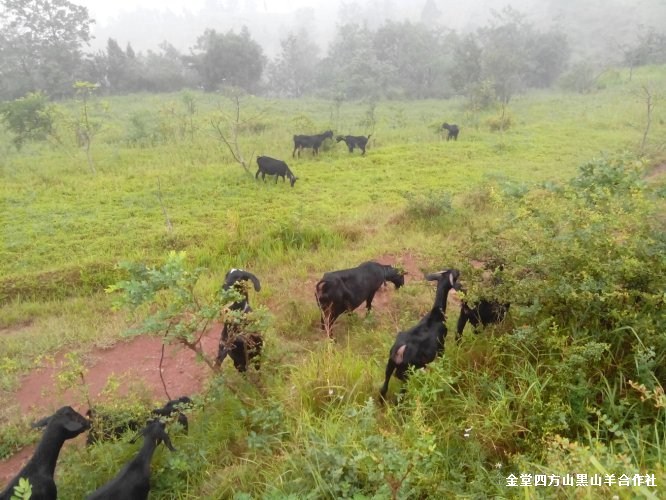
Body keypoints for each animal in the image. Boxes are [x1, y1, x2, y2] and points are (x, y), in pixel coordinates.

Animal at [376, 268, 460, 400]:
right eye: (454, 274)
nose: (458, 270)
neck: (436, 314)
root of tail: (399, 350)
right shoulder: (441, 344)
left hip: (390, 366)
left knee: (383, 388)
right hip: (406, 373)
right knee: (400, 396)